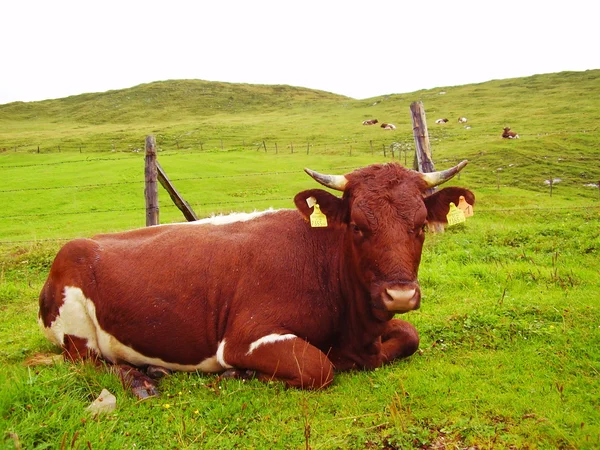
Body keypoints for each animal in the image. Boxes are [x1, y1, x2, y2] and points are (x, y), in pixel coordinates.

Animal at [39, 161, 476, 398]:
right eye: (357, 226)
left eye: (420, 226)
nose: (399, 295)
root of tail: (78, 244)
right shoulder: (244, 337)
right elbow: (319, 367)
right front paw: (242, 373)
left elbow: (409, 336)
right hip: (74, 331)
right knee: (89, 363)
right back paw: (140, 381)